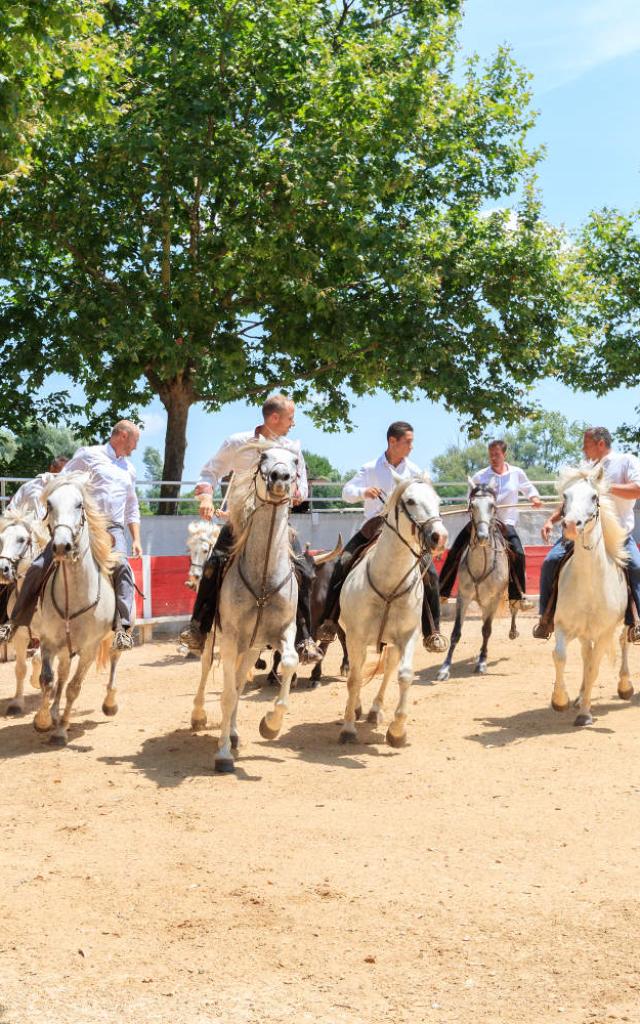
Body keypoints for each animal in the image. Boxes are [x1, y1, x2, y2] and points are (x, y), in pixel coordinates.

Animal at [32, 471, 122, 745]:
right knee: (61, 674)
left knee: (115, 657)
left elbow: (74, 687)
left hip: (114, 636)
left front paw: (61, 730)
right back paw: (53, 711)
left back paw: (110, 703)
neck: (74, 596)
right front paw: (43, 720)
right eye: (50, 504)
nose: (62, 546)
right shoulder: (49, 641)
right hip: (64, 647)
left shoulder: (89, 649)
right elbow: (48, 680)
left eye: (79, 504)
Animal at [211, 444, 296, 770]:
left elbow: (289, 663)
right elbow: (226, 695)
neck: (262, 579)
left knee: (239, 684)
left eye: (296, 460)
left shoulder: (284, 630)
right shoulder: (230, 639)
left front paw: (270, 724)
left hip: (251, 649)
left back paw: (234, 734)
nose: (280, 477)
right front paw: (222, 754)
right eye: (263, 457)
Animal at [337, 475, 446, 749]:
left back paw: (375, 711)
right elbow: (354, 678)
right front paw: (348, 728)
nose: (439, 537)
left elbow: (404, 675)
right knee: (356, 669)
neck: (388, 582)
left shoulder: (407, 636)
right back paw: (356, 708)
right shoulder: (355, 637)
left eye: (438, 500)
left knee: (387, 671)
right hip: (350, 637)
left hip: (391, 643)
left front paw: (397, 732)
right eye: (411, 500)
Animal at [544, 464, 630, 729]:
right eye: (565, 496)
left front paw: (585, 714)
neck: (591, 585)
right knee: (584, 654)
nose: (571, 525)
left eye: (594, 496)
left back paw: (625, 686)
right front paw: (560, 700)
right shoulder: (562, 625)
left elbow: (594, 668)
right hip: (583, 633)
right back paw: (581, 695)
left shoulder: (604, 632)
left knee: (623, 641)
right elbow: (560, 656)